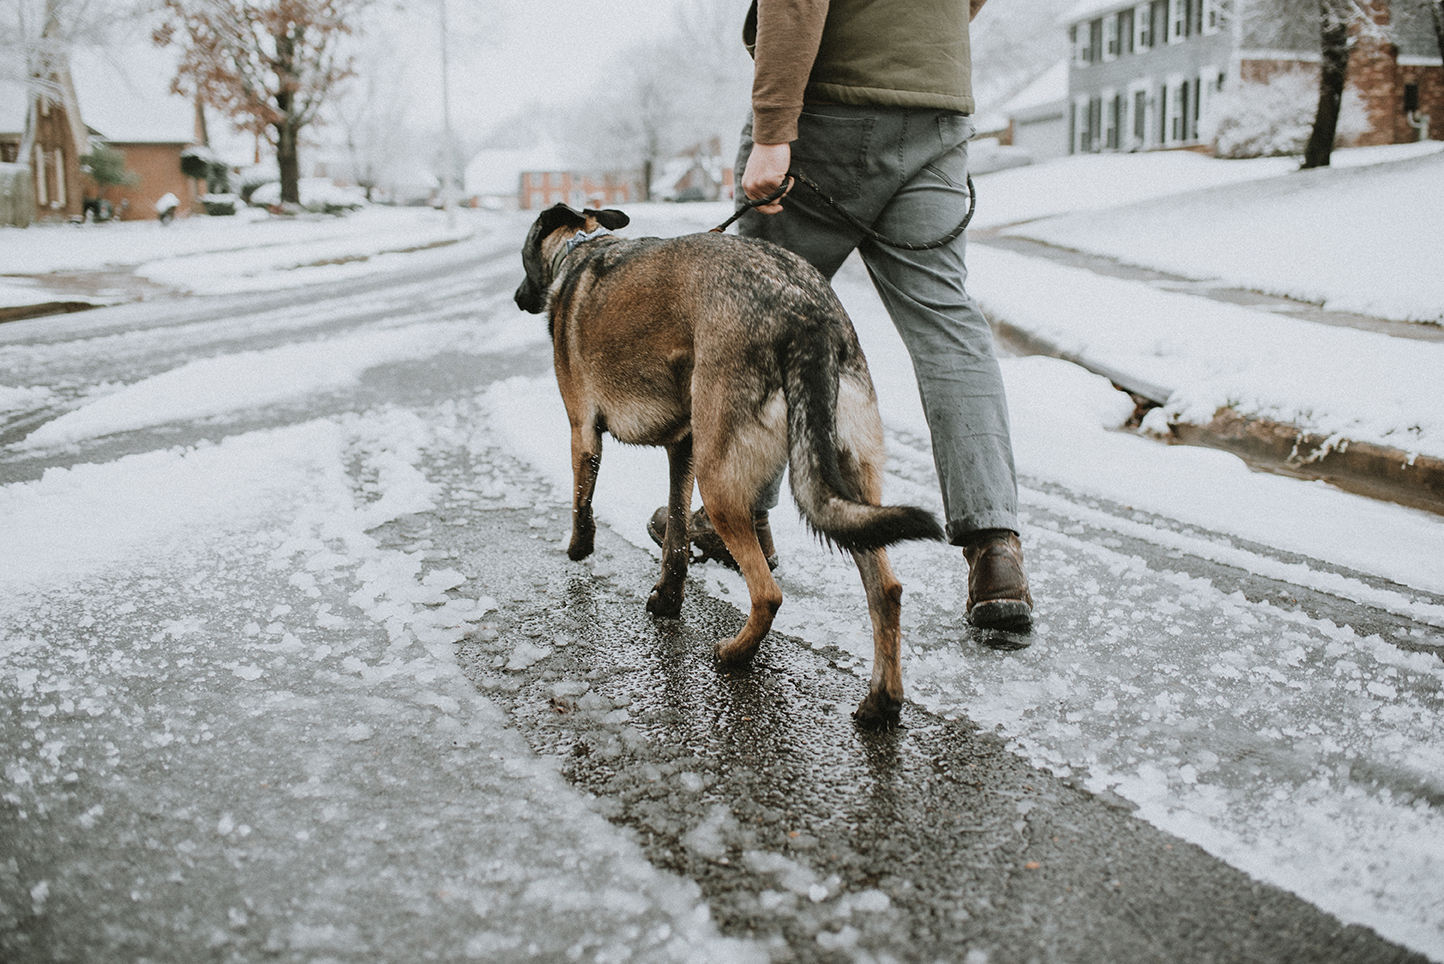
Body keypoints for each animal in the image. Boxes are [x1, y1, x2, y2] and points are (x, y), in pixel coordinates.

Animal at [514, 204, 941, 730]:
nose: (518, 298)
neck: (582, 251)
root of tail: (806, 315)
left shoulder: (583, 433)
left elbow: (582, 502)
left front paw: (579, 549)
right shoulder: (684, 446)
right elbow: (676, 537)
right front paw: (667, 599)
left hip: (719, 483)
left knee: (768, 593)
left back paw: (736, 654)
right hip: (846, 477)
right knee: (886, 588)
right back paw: (882, 701)